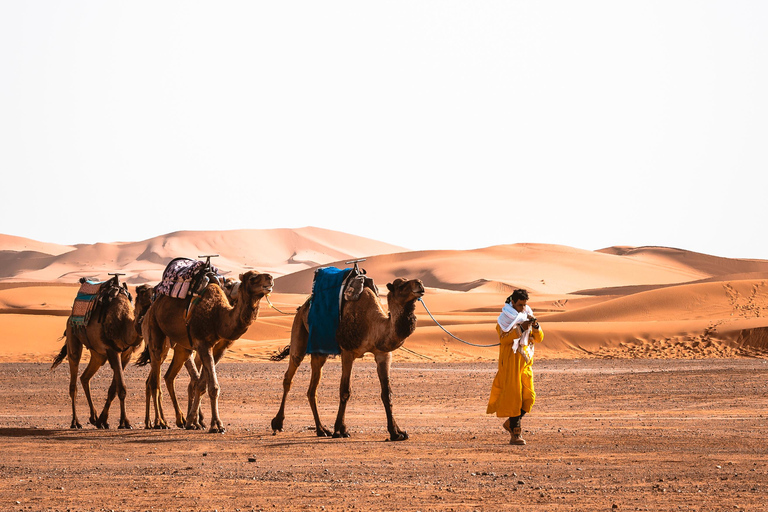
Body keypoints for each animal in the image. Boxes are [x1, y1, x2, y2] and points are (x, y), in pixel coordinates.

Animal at [51, 280, 153, 428]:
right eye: (142, 291)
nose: (153, 294)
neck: (124, 325)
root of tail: (70, 316)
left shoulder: (126, 354)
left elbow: (113, 389)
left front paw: (103, 421)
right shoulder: (112, 350)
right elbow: (121, 388)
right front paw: (124, 422)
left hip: (97, 354)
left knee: (84, 377)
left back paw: (93, 417)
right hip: (72, 336)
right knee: (73, 383)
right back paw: (75, 422)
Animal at [141, 270, 272, 434]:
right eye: (253, 278)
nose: (270, 278)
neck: (218, 316)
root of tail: (150, 309)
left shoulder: (217, 349)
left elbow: (201, 384)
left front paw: (193, 421)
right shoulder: (203, 344)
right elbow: (212, 386)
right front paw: (216, 425)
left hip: (180, 348)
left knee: (166, 377)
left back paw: (169, 420)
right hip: (155, 334)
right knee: (154, 381)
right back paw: (160, 422)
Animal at [270, 276, 426, 440]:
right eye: (401, 285)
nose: (420, 284)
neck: (372, 324)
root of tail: (302, 307)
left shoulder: (383, 354)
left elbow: (387, 393)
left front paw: (396, 432)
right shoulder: (347, 352)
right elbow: (345, 390)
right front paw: (340, 430)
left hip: (319, 351)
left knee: (312, 389)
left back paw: (321, 429)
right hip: (299, 331)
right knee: (289, 376)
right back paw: (278, 423)